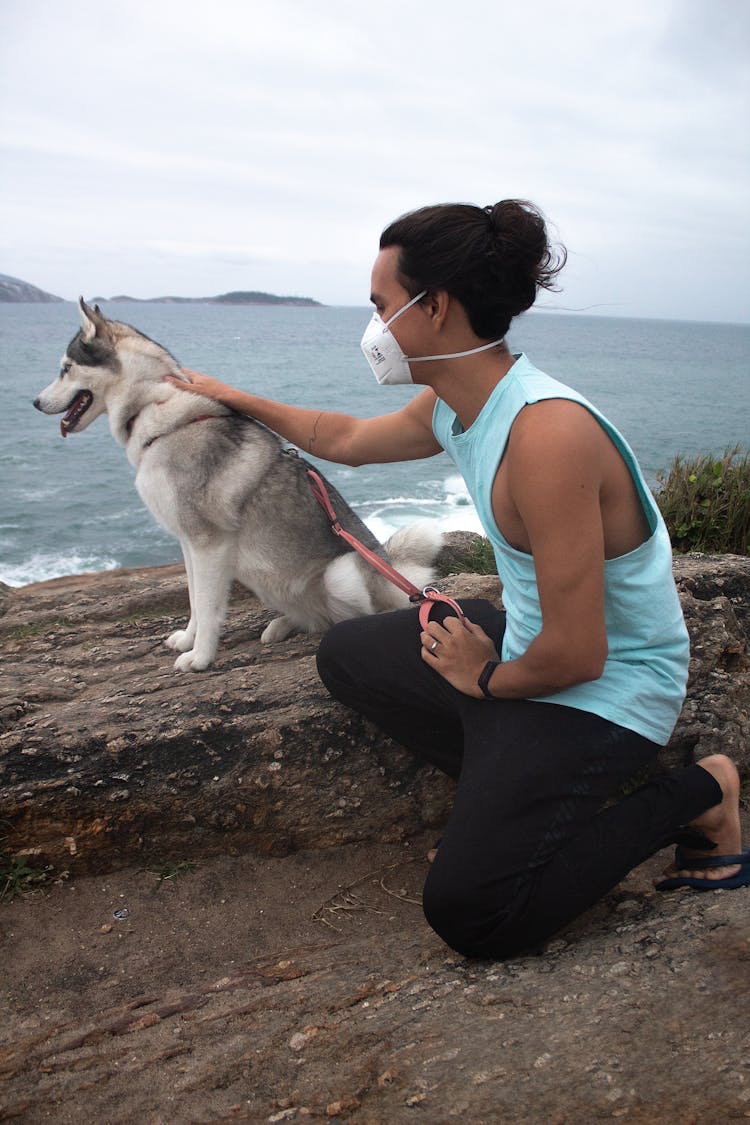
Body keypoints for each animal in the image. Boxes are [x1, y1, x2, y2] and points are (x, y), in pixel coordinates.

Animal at [35, 299, 443, 666]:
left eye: (66, 368)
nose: (36, 403)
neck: (151, 406)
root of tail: (397, 576)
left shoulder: (209, 543)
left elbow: (207, 606)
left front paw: (200, 658)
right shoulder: (188, 542)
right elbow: (194, 600)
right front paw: (188, 640)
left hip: (341, 574)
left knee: (352, 616)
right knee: (315, 618)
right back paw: (282, 625)